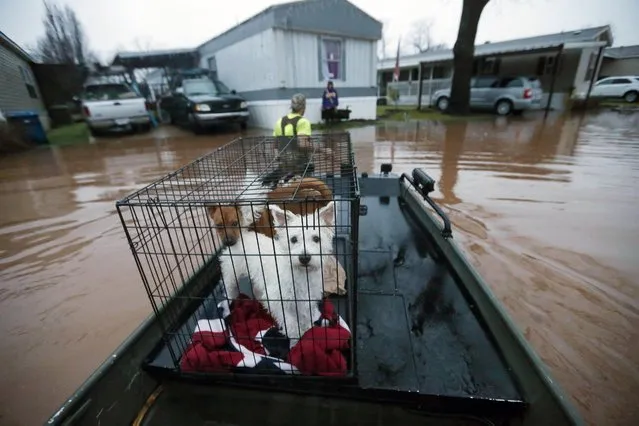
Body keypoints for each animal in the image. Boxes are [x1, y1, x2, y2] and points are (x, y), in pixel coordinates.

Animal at [220, 201, 338, 342]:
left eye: (316, 239)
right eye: (293, 239)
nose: (304, 258)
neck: (300, 273)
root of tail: (243, 235)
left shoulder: (306, 298)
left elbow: (304, 315)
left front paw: (307, 328)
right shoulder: (277, 299)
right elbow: (289, 321)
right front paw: (296, 337)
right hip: (231, 274)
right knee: (228, 291)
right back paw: (227, 309)